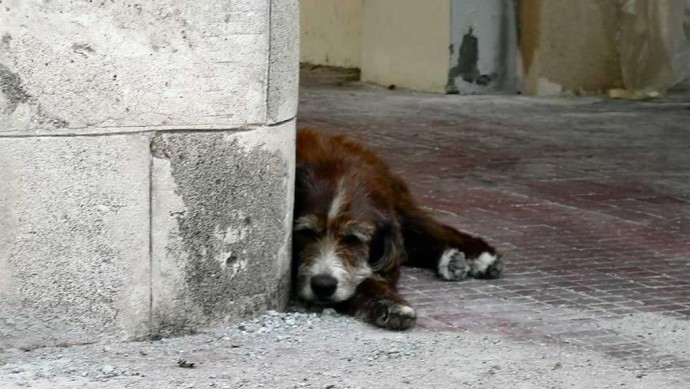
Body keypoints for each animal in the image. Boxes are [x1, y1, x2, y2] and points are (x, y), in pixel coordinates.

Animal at [290, 129, 500, 328]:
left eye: (353, 239)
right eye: (306, 233)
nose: (323, 285)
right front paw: (389, 303)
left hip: (400, 208)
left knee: (432, 230)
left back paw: (480, 256)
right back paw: (451, 260)